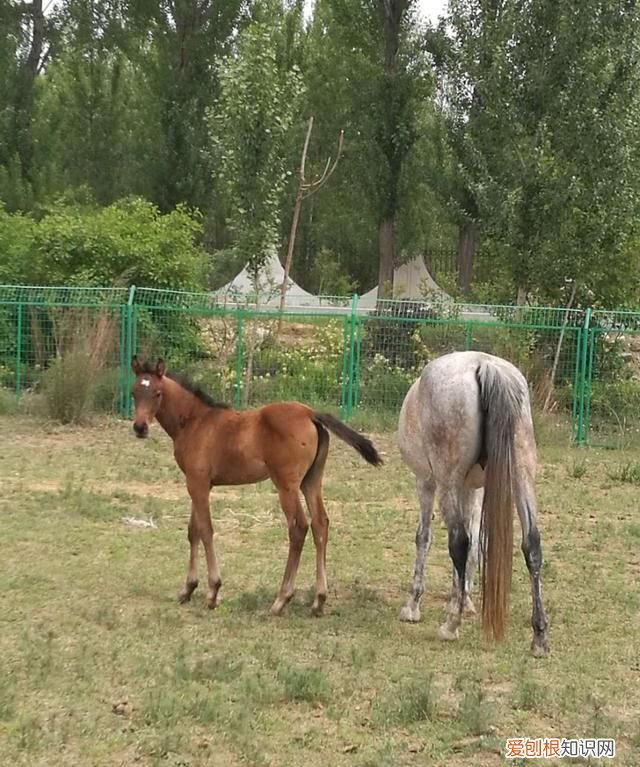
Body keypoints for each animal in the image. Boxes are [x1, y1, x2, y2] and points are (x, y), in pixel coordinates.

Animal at [129, 356, 383, 616]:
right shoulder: (198, 483)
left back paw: (281, 599)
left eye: (157, 393)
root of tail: (311, 413)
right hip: (311, 480)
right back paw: (319, 601)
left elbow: (206, 530)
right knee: (320, 524)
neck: (195, 421)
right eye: (134, 392)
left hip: (286, 484)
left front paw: (212, 592)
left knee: (299, 527)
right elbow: (194, 531)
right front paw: (188, 589)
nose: (140, 427)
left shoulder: (197, 483)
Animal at [397, 350, 548, 654]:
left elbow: (425, 538)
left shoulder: (426, 482)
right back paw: (538, 637)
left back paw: (450, 627)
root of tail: (484, 365)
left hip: (446, 482)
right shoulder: (473, 489)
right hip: (521, 476)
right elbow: (476, 544)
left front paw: (414, 606)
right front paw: (462, 598)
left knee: (458, 541)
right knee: (531, 544)